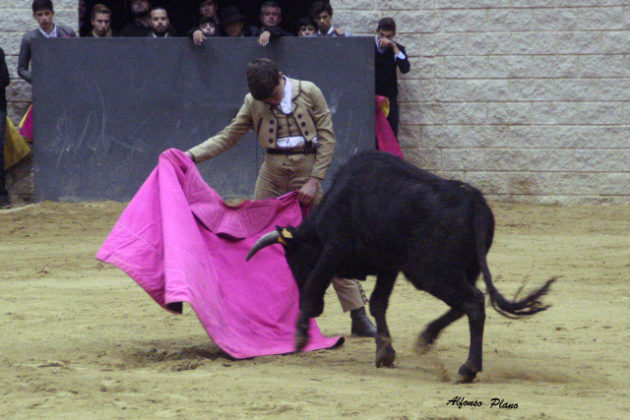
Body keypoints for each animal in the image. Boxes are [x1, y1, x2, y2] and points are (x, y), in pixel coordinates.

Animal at [248, 151, 556, 384]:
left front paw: (300, 338)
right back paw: (426, 339)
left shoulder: (334, 251)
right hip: (455, 271)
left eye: (294, 259)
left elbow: (314, 288)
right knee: (466, 303)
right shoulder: (388, 267)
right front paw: (384, 353)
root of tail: (475, 200)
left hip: (432, 272)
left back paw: (467, 369)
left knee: (473, 302)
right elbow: (377, 304)